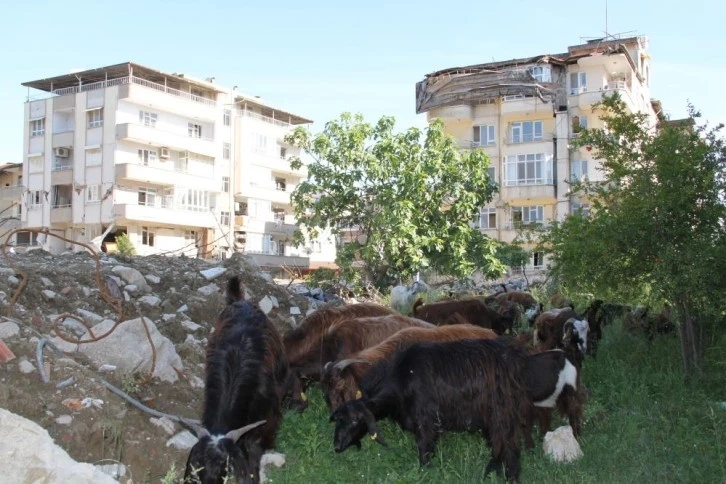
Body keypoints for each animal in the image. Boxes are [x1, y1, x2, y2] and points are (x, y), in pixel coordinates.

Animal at [330, 338, 528, 482]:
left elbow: (424, 447)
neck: (403, 379)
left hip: (501, 413)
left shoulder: (426, 419)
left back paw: (510, 476)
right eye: (339, 419)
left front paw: (425, 472)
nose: (337, 446)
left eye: (355, 421)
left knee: (508, 443)